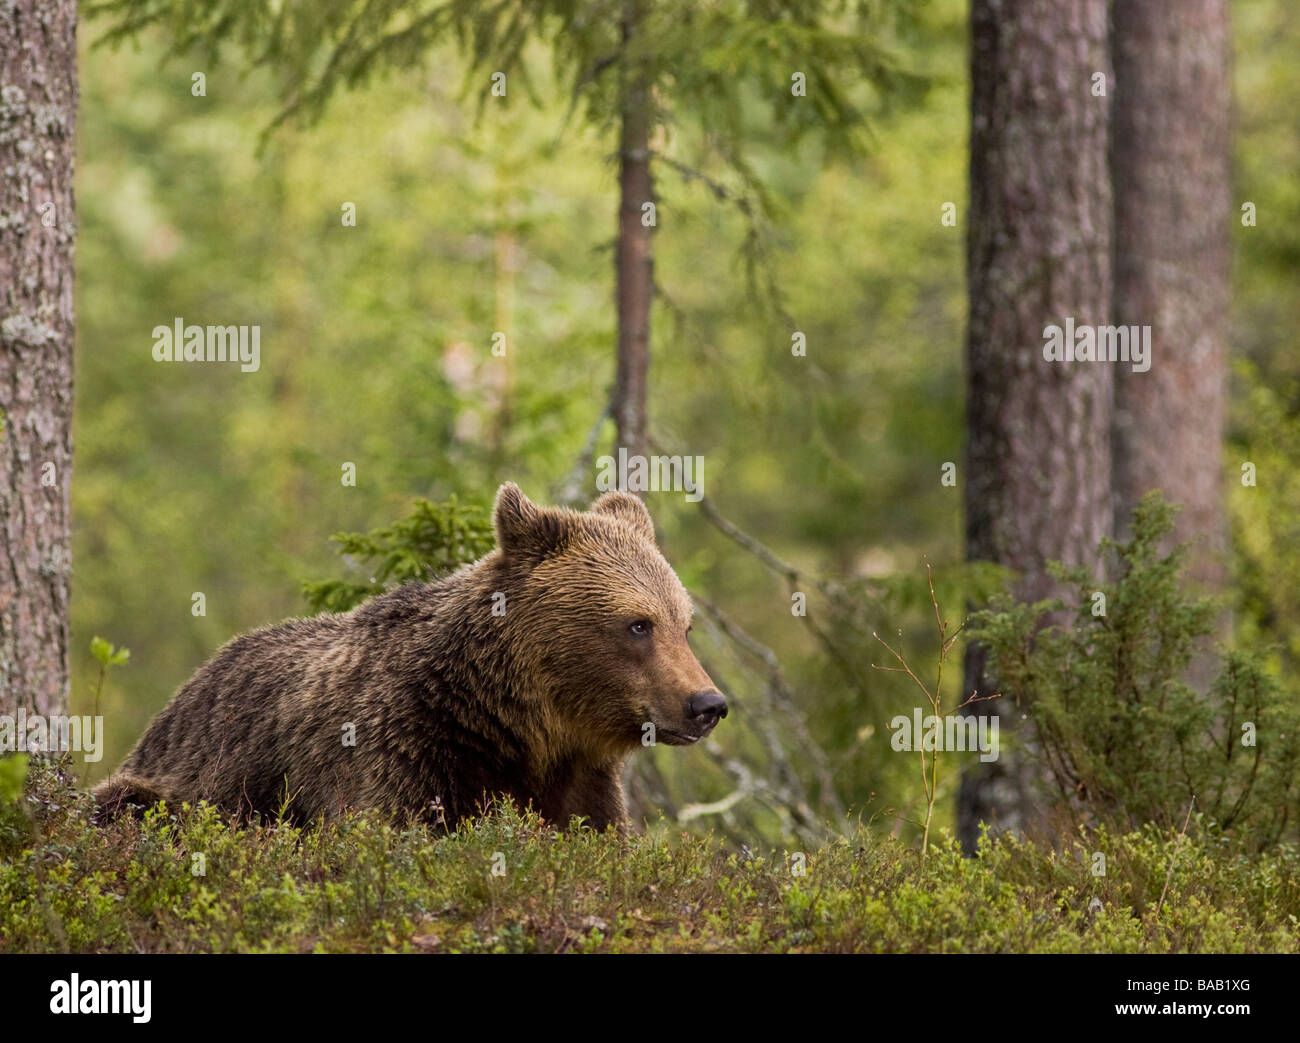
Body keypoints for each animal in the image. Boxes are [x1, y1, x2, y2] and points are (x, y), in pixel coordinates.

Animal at [92, 483, 727, 832]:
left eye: (685, 624)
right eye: (638, 624)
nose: (708, 704)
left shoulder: (579, 779)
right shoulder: (401, 749)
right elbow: (393, 826)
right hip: (177, 786)